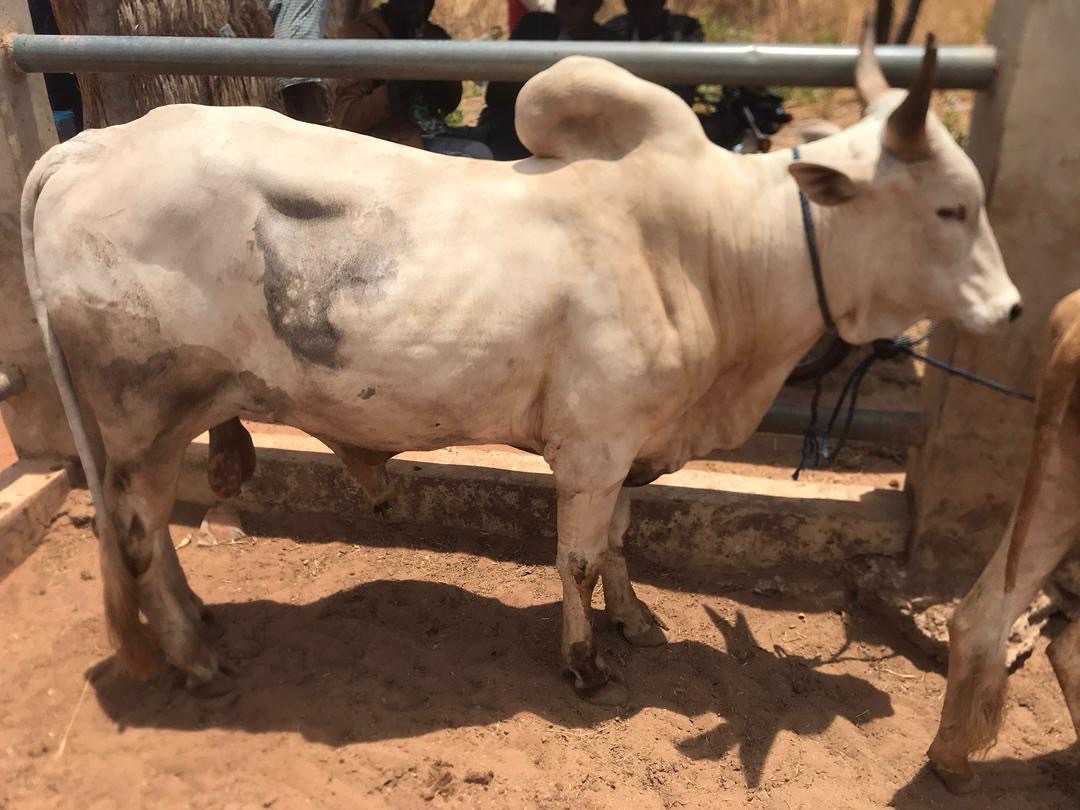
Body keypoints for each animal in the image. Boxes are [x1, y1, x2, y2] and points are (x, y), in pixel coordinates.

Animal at [21, 24, 1020, 705]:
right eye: (949, 208)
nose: (1012, 310)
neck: (715, 251)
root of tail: (91, 145)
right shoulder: (594, 444)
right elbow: (576, 555)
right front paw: (583, 660)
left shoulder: (629, 444)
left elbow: (618, 541)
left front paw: (636, 620)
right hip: (144, 409)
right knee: (140, 530)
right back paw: (193, 656)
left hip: (160, 424)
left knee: (148, 532)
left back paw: (196, 626)